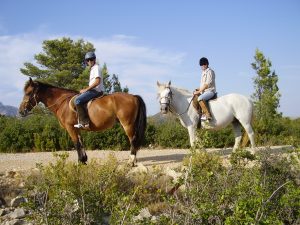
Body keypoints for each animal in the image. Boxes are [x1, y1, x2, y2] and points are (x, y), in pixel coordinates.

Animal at [18, 78, 147, 165]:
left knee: (133, 140)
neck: (62, 103)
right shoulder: (76, 128)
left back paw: (131, 161)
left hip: (127, 124)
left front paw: (80, 162)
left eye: (28, 93)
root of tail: (133, 96)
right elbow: (81, 143)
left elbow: (76, 144)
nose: (21, 111)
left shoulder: (70, 127)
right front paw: (84, 160)